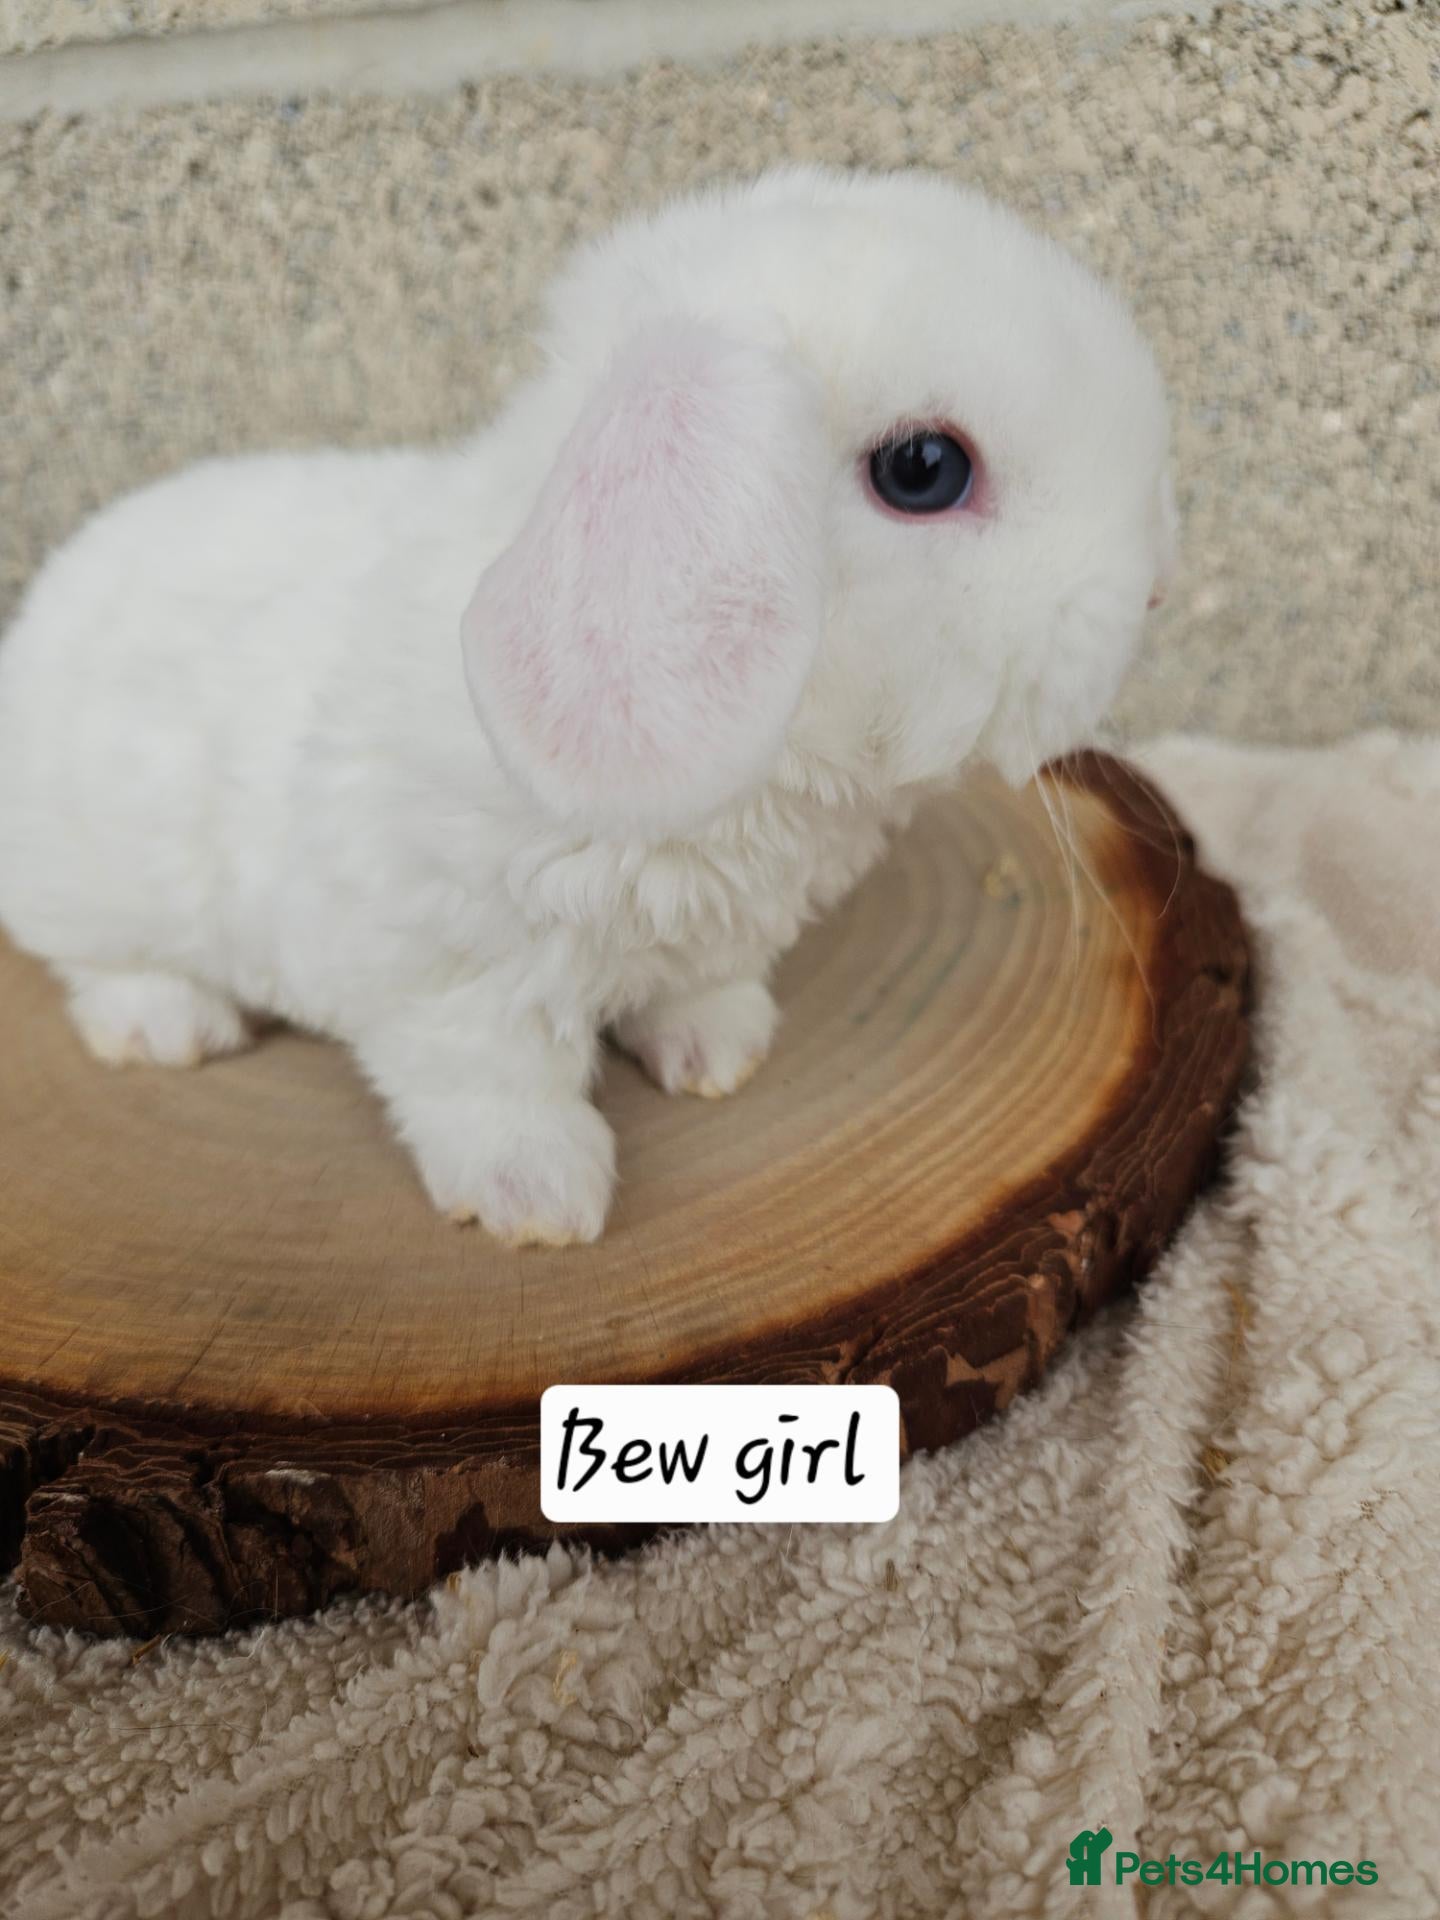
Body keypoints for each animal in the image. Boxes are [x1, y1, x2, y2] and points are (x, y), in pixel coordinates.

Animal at [0, 167, 1177, 1248]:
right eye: (924, 470)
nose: (1149, 596)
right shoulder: (447, 970)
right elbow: (491, 1080)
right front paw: (539, 1202)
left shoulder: (700, 939)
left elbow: (697, 991)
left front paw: (723, 1055)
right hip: (94, 881)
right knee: (90, 959)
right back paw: (166, 1025)